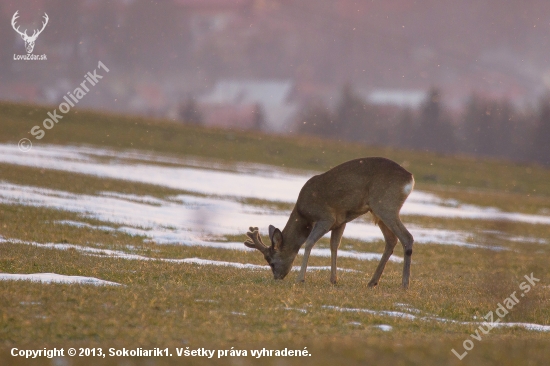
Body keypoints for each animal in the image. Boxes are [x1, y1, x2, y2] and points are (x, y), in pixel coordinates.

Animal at [244, 157, 416, 288]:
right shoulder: (340, 221)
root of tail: (410, 179)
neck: (303, 214)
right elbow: (334, 245)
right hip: (377, 211)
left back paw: (404, 284)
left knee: (407, 237)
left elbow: (309, 242)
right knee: (391, 240)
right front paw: (334, 280)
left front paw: (300, 279)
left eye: (271, 262)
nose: (277, 277)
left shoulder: (326, 217)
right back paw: (372, 282)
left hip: (385, 206)